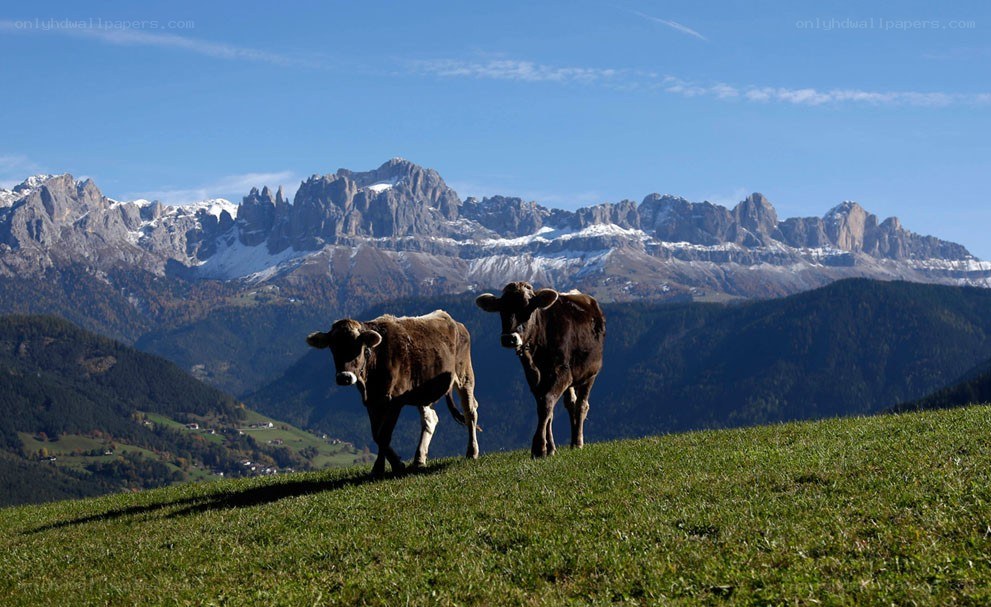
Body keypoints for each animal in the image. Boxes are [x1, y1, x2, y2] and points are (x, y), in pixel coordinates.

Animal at [306, 310, 480, 476]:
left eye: (358, 347)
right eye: (333, 347)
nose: (344, 377)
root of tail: (454, 321)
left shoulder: (395, 400)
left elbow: (384, 435)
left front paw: (395, 465)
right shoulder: (371, 402)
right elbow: (377, 435)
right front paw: (380, 467)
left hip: (465, 375)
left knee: (470, 412)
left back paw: (472, 452)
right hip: (423, 392)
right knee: (430, 419)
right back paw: (419, 459)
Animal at [475, 282, 605, 458]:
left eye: (528, 307)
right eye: (501, 309)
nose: (509, 338)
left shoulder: (563, 372)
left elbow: (547, 403)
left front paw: (538, 448)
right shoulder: (533, 377)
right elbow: (544, 407)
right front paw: (550, 448)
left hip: (590, 373)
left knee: (582, 405)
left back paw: (578, 442)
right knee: (571, 404)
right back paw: (572, 442)